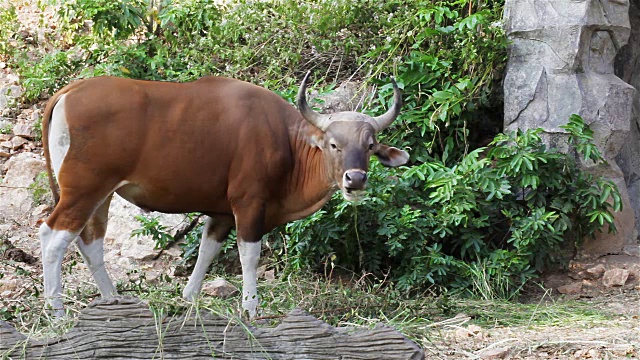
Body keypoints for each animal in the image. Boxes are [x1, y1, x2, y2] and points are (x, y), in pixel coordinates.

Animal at [41, 72, 410, 316]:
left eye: (370, 145)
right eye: (334, 144)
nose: (355, 179)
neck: (287, 143)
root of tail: (71, 90)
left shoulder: (220, 214)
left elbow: (208, 250)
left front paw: (190, 297)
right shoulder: (249, 203)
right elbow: (250, 255)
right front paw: (251, 307)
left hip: (102, 194)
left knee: (89, 240)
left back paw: (112, 299)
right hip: (84, 189)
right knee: (53, 236)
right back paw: (56, 310)